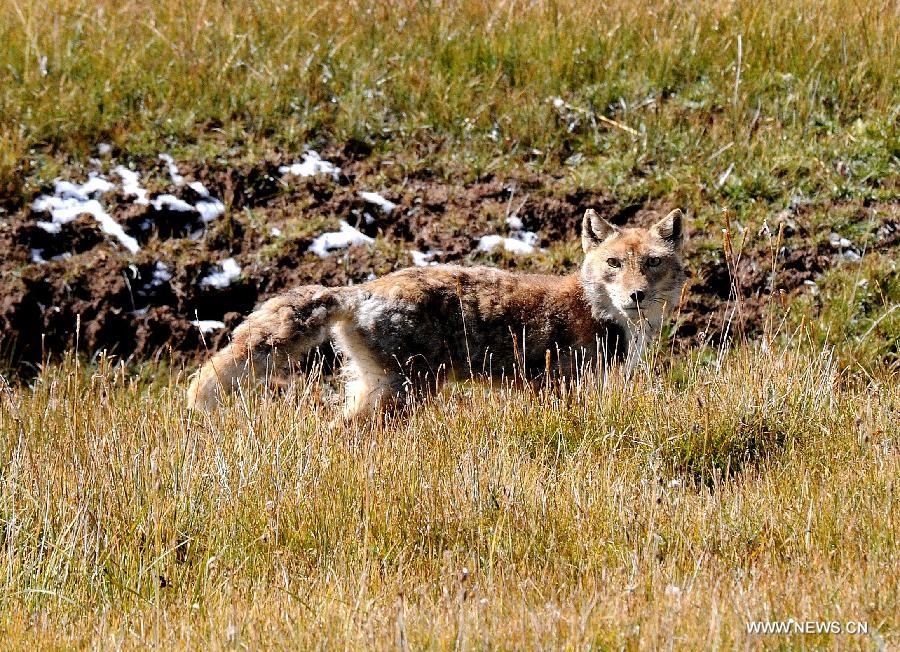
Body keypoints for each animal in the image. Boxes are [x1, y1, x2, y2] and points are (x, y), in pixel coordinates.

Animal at [187, 208, 687, 417]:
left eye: (652, 263)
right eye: (614, 264)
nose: (636, 296)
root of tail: (360, 290)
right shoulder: (563, 389)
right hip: (405, 393)